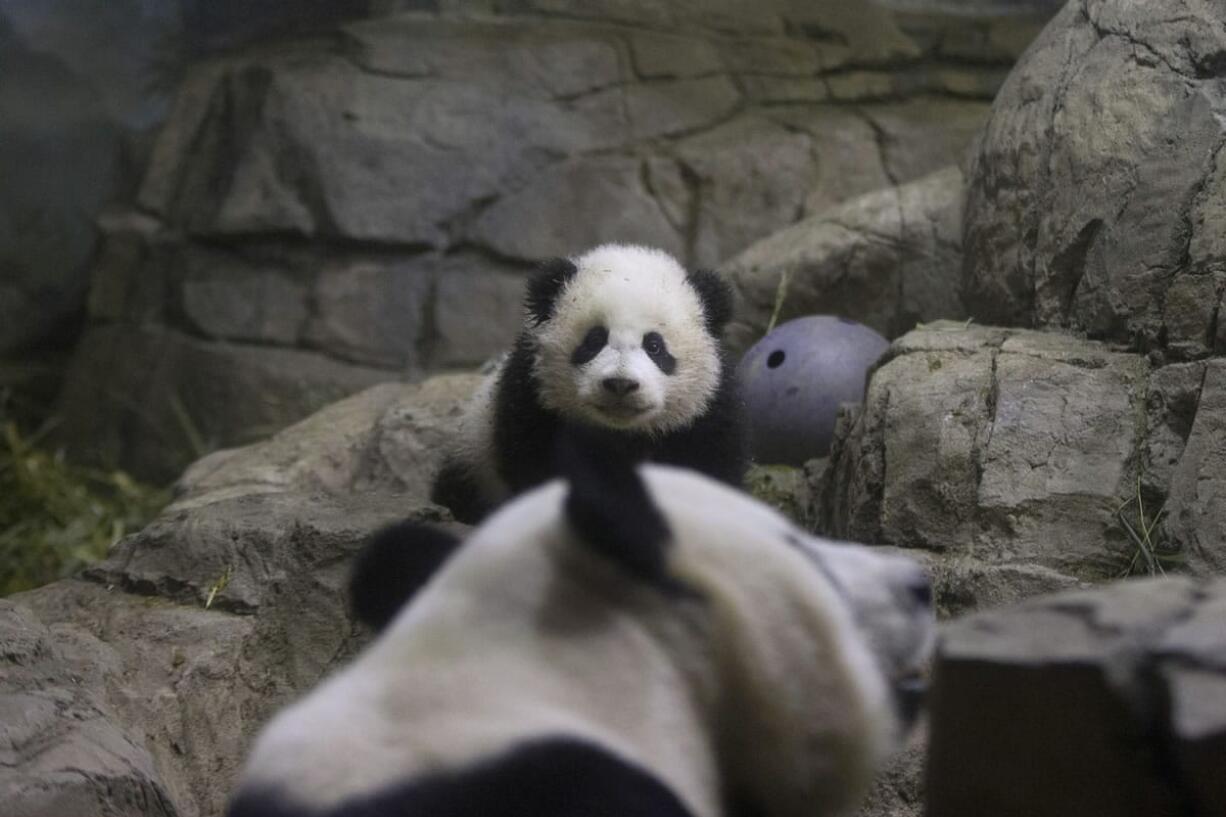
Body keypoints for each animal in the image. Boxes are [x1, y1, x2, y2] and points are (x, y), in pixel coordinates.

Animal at [431, 242, 745, 522]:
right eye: (594, 340)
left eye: (654, 346)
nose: (620, 384)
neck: (622, 433)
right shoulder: (533, 401)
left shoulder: (704, 416)